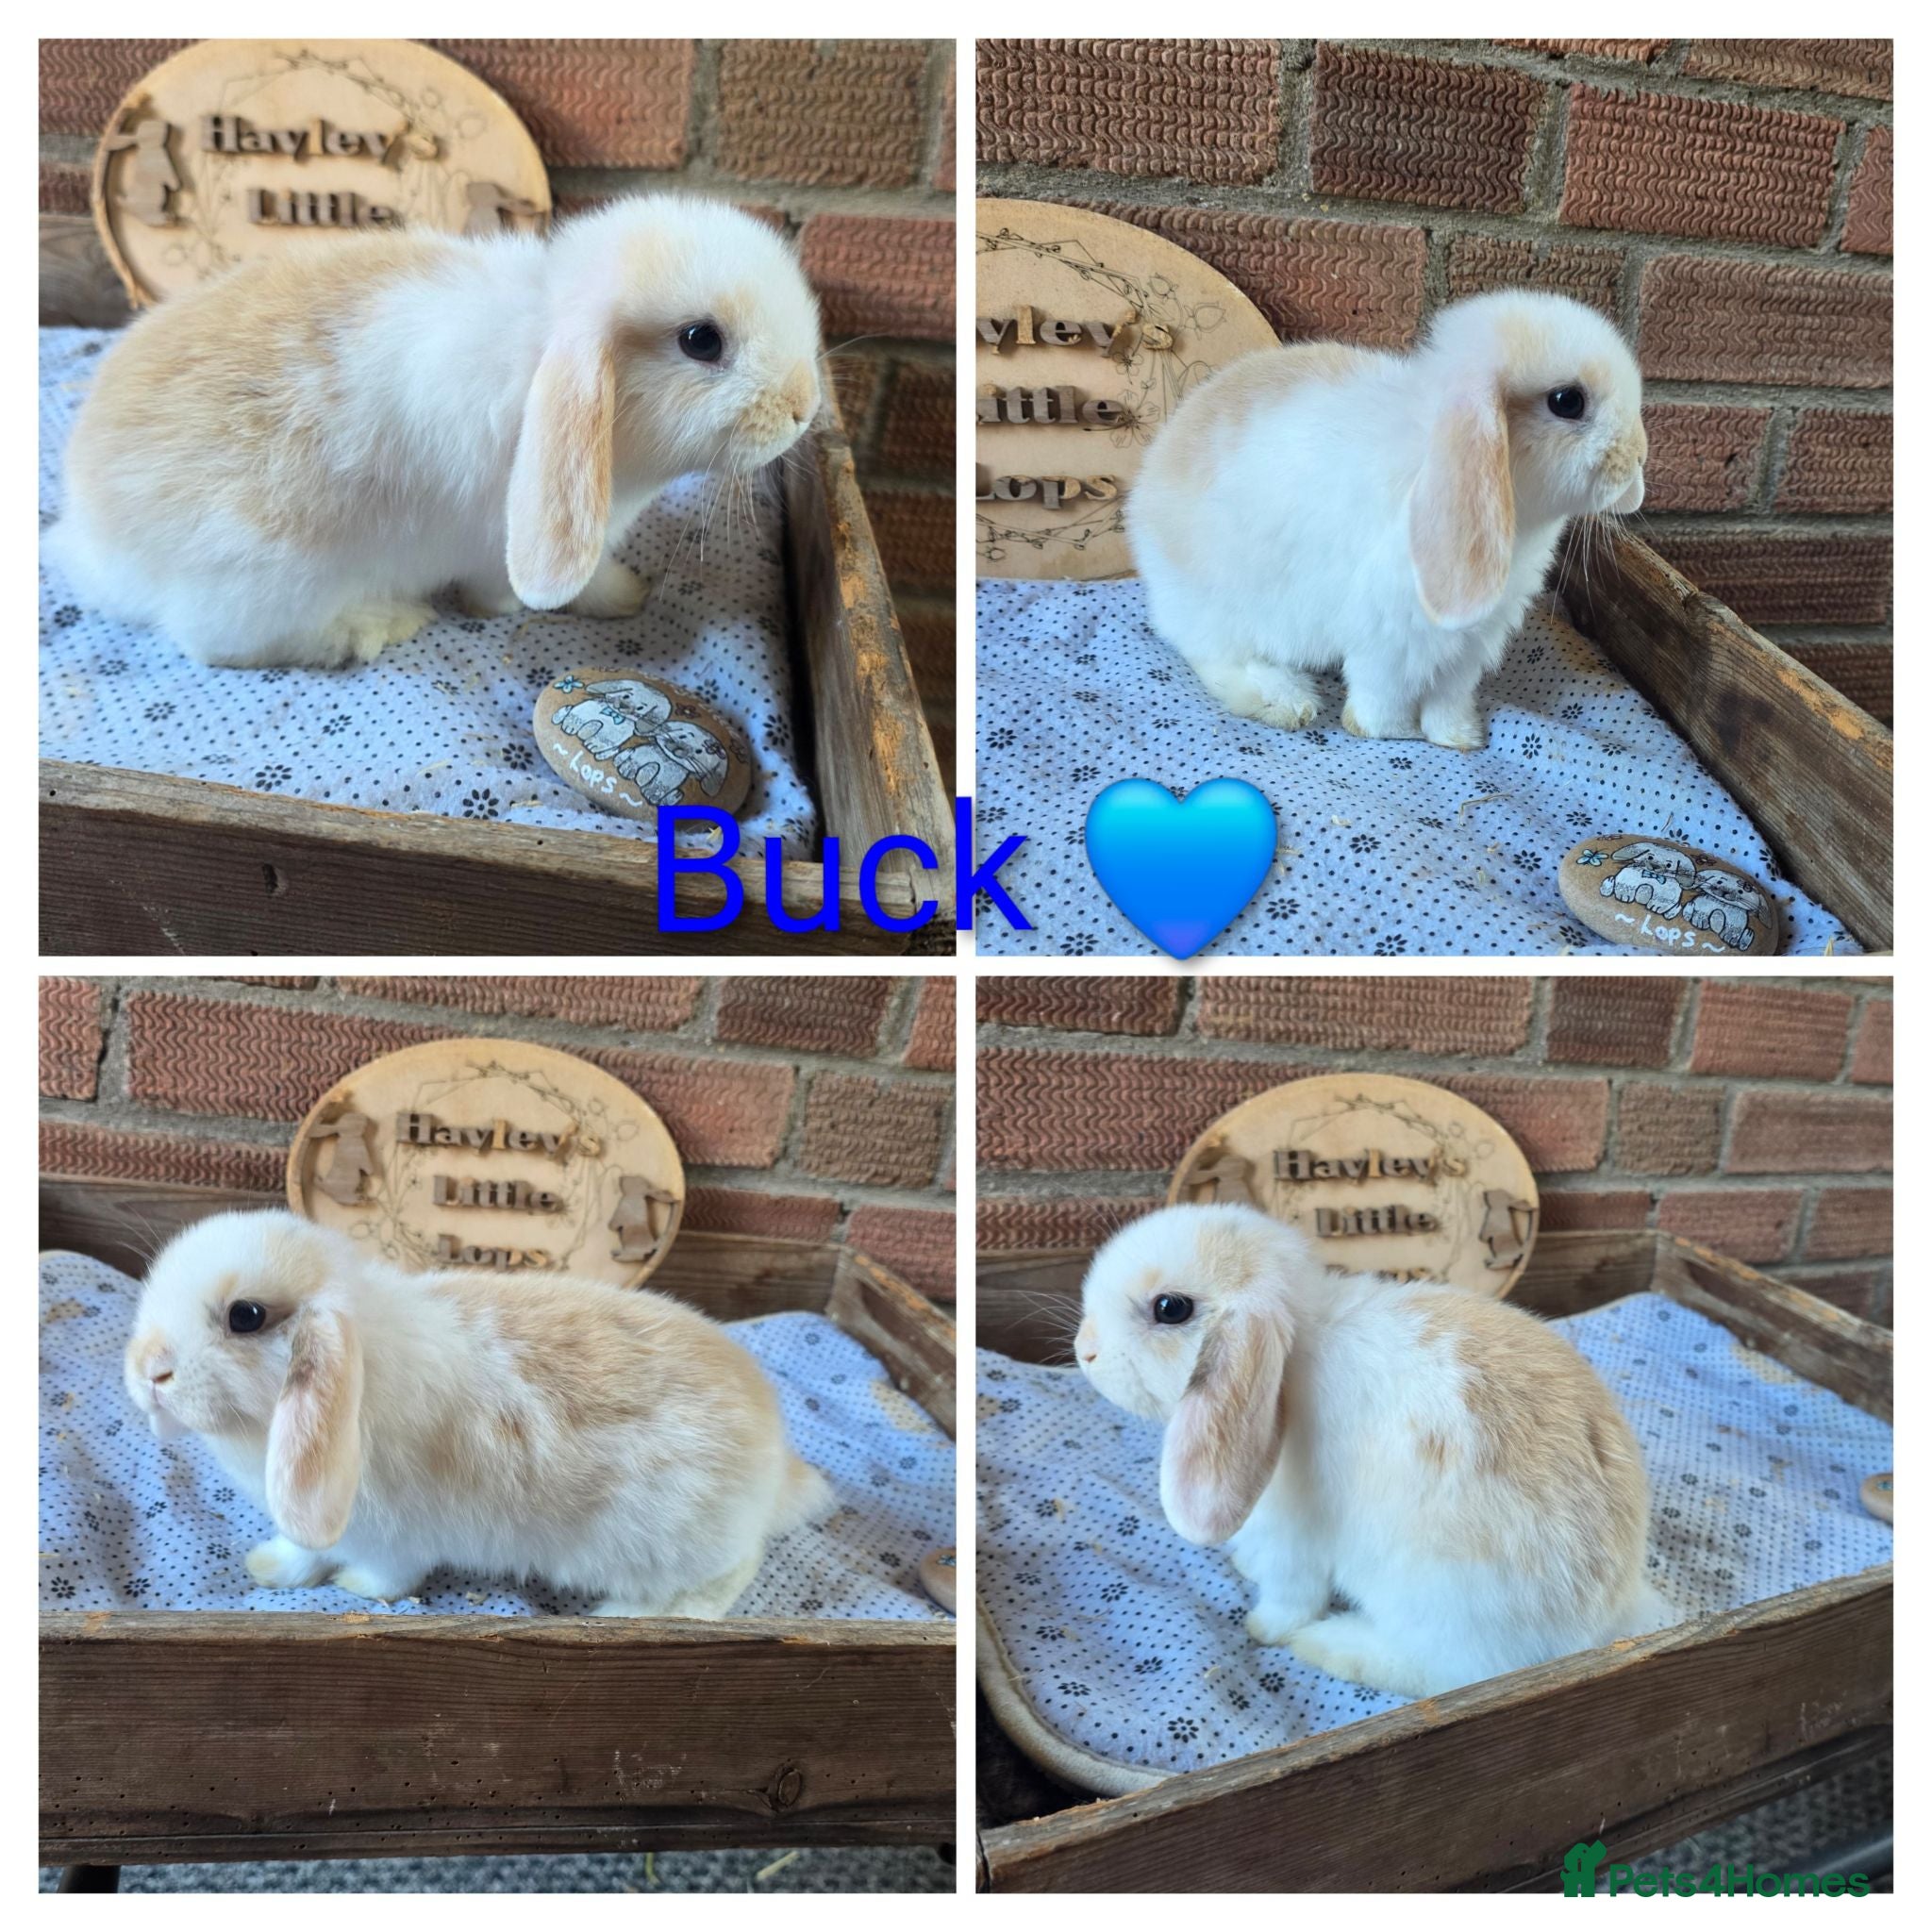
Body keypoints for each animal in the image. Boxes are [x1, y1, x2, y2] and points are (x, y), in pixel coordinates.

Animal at [47, 196, 822, 669]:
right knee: (215, 642)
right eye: (701, 340)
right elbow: (524, 586)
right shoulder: (503, 541)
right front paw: (590, 600)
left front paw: (628, 590)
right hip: (271, 577)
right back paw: (377, 624)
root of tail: (92, 542)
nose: (804, 407)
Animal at [123, 1210, 835, 1617]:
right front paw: (267, 1568)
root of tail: (776, 1465)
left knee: (733, 1574)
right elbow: (301, 1552)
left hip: (677, 1551)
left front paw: (356, 1590)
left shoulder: (392, 1536)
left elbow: (387, 1576)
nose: (145, 1369)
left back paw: (632, 1616)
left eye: (245, 1315)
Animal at [1075, 1204, 1668, 1697]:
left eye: (1170, 1308)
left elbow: (1291, 1594)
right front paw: (1244, 1563)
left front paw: (1265, 1627)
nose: (1085, 1352)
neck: (1291, 1363)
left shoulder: (1297, 1538)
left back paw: (1333, 1645)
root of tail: (1608, 1617)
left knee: (1451, 1673)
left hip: (1432, 1601)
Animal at [1126, 290, 1647, 751]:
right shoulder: (1389, 637)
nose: (1640, 456)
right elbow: (1383, 693)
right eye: (1567, 400)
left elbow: (1450, 696)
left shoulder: (1470, 643)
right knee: (1210, 654)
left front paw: (1461, 738)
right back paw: (1286, 700)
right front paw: (1392, 732)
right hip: (1220, 610)